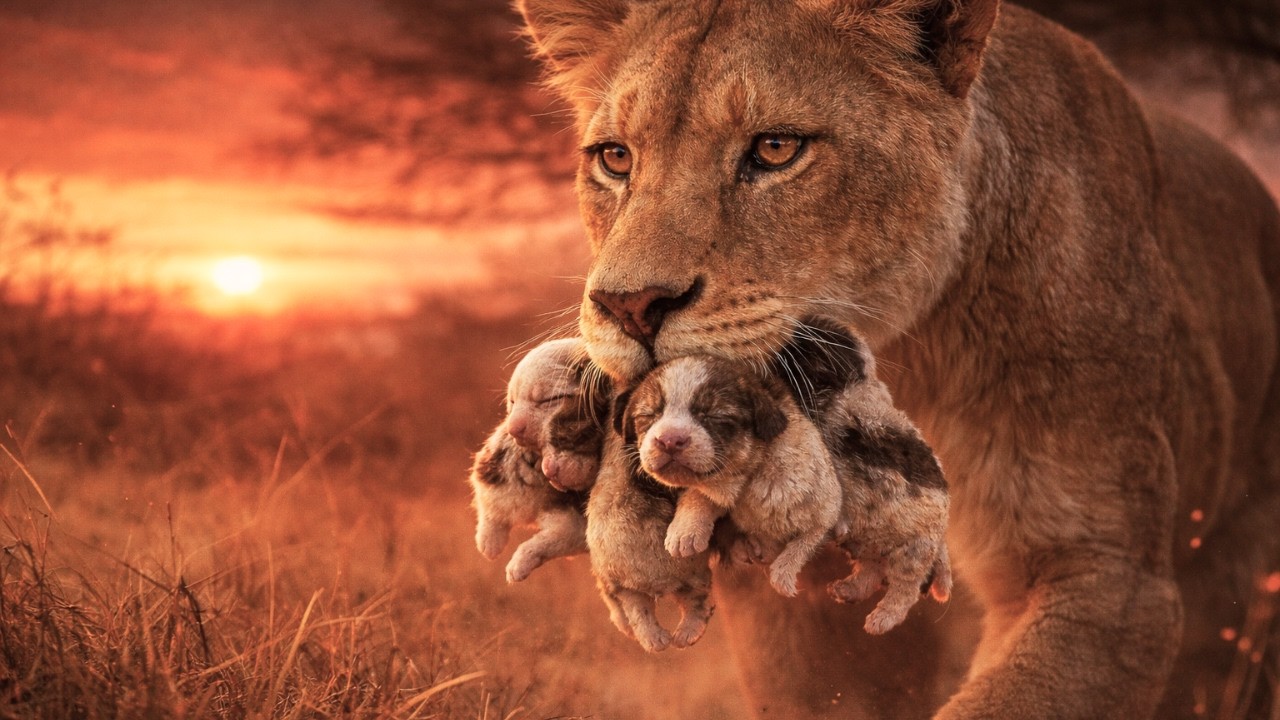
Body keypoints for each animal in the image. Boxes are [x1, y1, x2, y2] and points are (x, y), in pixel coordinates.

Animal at [515, 0, 1280, 718]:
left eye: (776, 148)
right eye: (615, 158)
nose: (629, 304)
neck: (894, 369)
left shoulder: (1106, 575)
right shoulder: (782, 604)